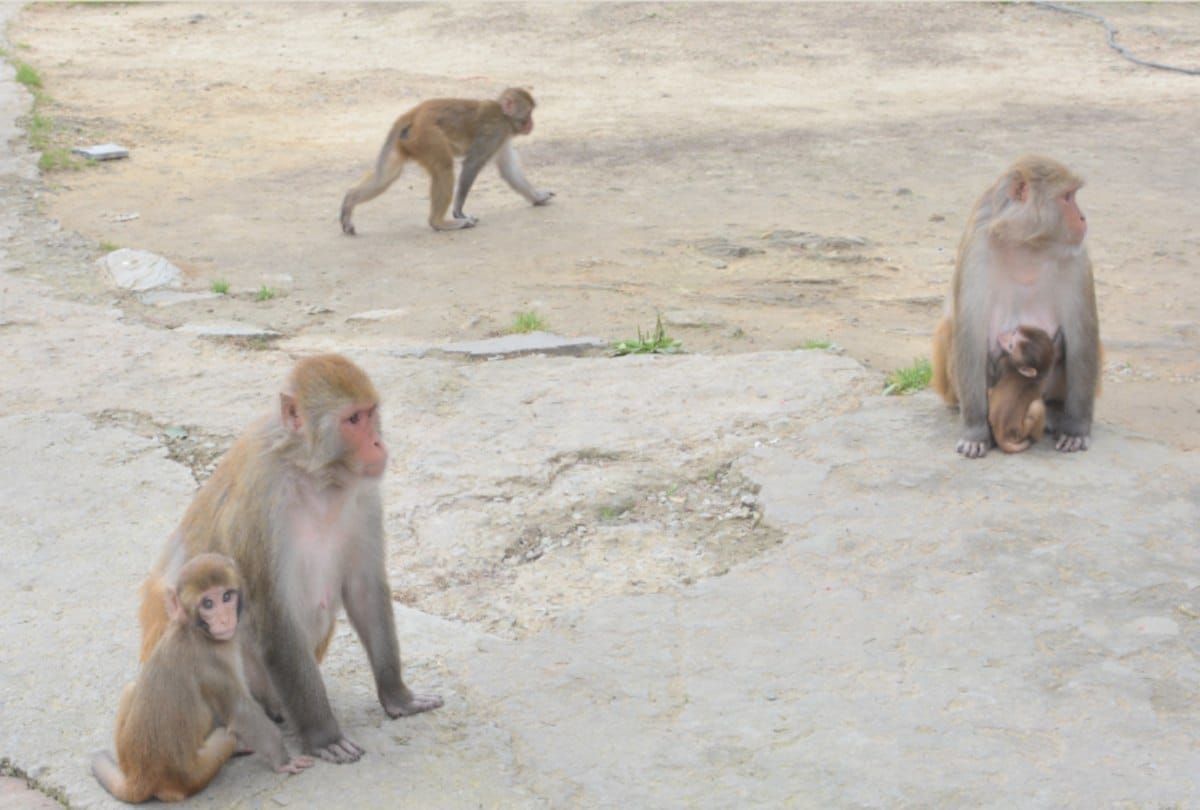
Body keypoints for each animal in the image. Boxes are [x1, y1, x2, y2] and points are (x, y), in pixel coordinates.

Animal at [93, 554, 312, 803]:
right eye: (208, 604)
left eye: (226, 596)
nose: (224, 619)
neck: (194, 629)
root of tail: (140, 778)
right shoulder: (214, 663)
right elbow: (242, 713)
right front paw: (283, 761)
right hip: (192, 776)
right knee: (225, 736)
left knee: (131, 688)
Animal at [138, 354, 442, 765]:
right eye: (353, 420)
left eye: (370, 413)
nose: (379, 443)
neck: (312, 474)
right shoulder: (260, 507)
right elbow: (273, 615)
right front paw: (323, 735)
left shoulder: (363, 497)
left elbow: (364, 589)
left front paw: (398, 696)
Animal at [340, 86, 554, 234]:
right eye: (529, 113)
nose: (532, 124)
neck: (504, 115)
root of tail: (415, 112)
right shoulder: (495, 131)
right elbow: (472, 164)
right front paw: (458, 211)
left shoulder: (502, 137)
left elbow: (509, 170)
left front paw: (537, 197)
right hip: (427, 136)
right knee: (444, 168)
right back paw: (440, 223)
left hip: (408, 141)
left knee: (386, 176)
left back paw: (350, 202)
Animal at [987, 325, 1060, 454]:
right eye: (1014, 333)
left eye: (1011, 346)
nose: (1002, 336)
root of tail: (1000, 432)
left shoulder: (1005, 361)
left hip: (1018, 432)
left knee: (1037, 406)